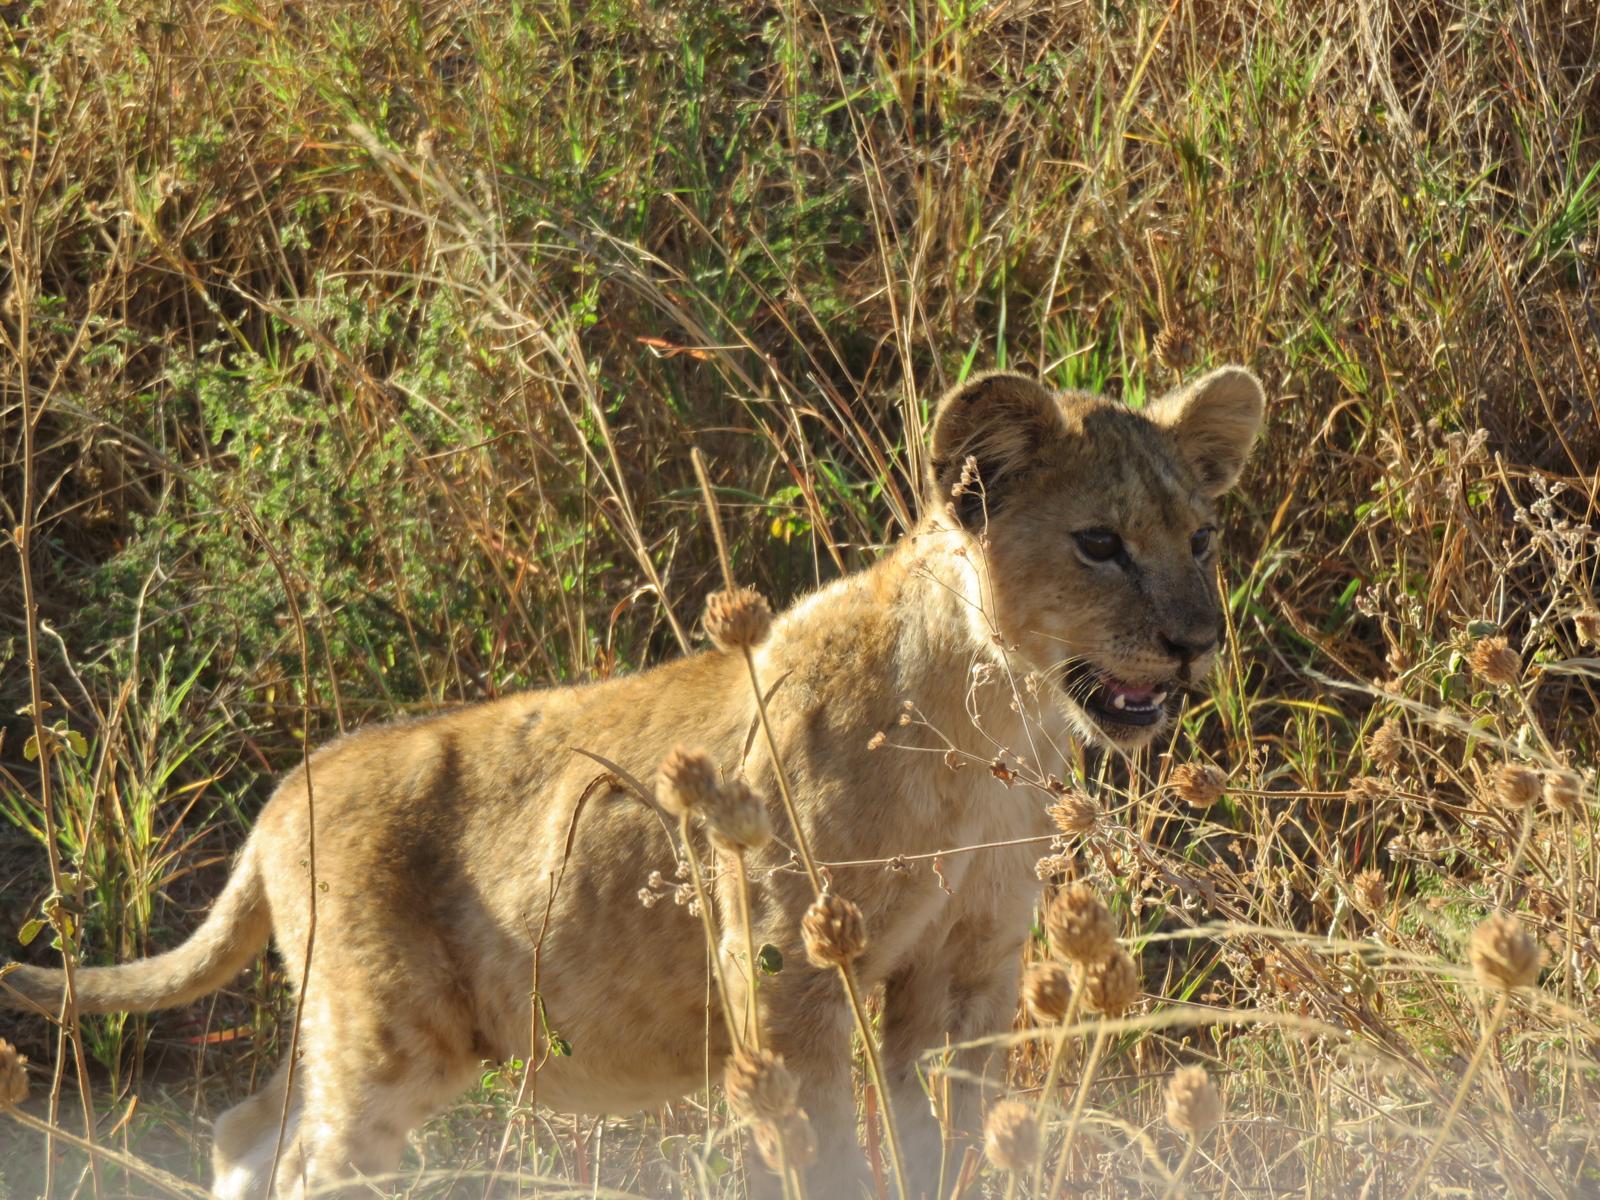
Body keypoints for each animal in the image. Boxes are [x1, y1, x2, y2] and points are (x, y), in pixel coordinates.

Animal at [3, 365, 1264, 1198]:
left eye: (1201, 538)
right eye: (1098, 544)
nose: (1196, 643)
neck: (987, 725)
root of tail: (288, 790)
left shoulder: (966, 979)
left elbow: (945, 1142)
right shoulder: (783, 976)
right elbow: (828, 1157)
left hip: (344, 1025)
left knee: (246, 1129)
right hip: (386, 1031)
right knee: (311, 1157)